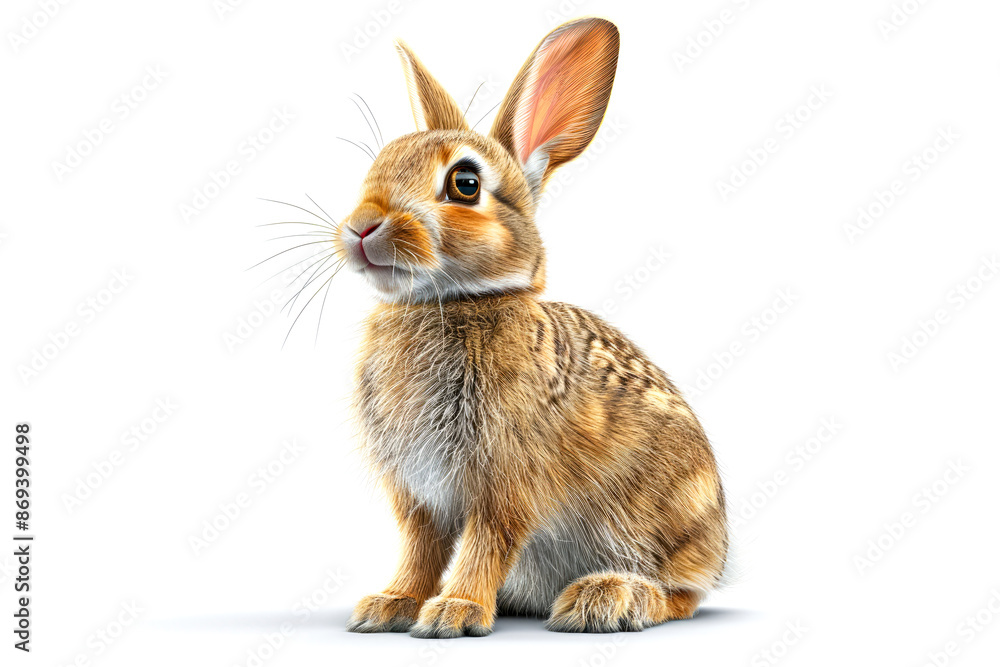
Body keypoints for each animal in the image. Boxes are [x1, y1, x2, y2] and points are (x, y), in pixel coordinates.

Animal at [339, 17, 728, 638]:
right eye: (378, 165)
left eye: (465, 183)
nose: (360, 226)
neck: (450, 300)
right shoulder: (419, 493)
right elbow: (420, 547)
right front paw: (391, 604)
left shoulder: (506, 476)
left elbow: (487, 540)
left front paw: (455, 612)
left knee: (682, 594)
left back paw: (608, 598)